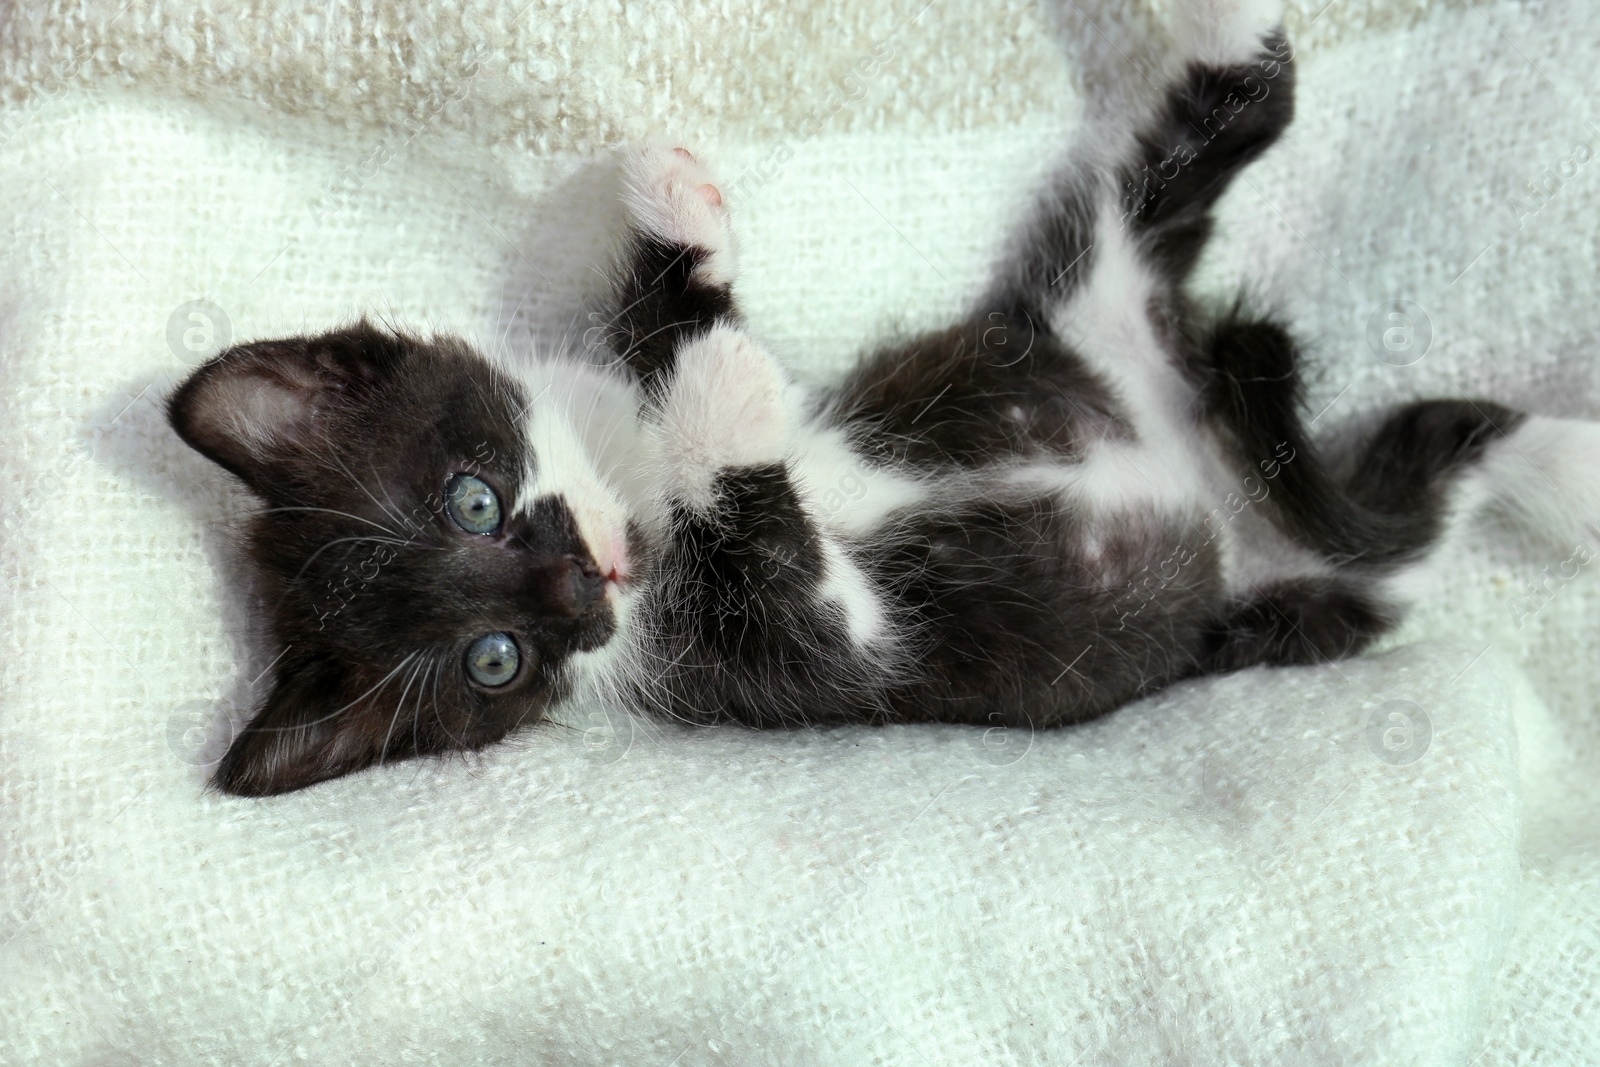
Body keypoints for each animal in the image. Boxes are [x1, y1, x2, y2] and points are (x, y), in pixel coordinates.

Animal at [165, 0, 1600, 796]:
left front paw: (667, 204)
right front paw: (729, 388)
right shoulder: (815, 653)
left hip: (1092, 295)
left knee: (1224, 117)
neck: (639, 505)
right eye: (495, 660)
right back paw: (1573, 476)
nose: (581, 588)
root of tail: (1205, 449)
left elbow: (658, 322)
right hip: (1314, 596)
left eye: (471, 498)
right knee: (1432, 487)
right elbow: (780, 544)